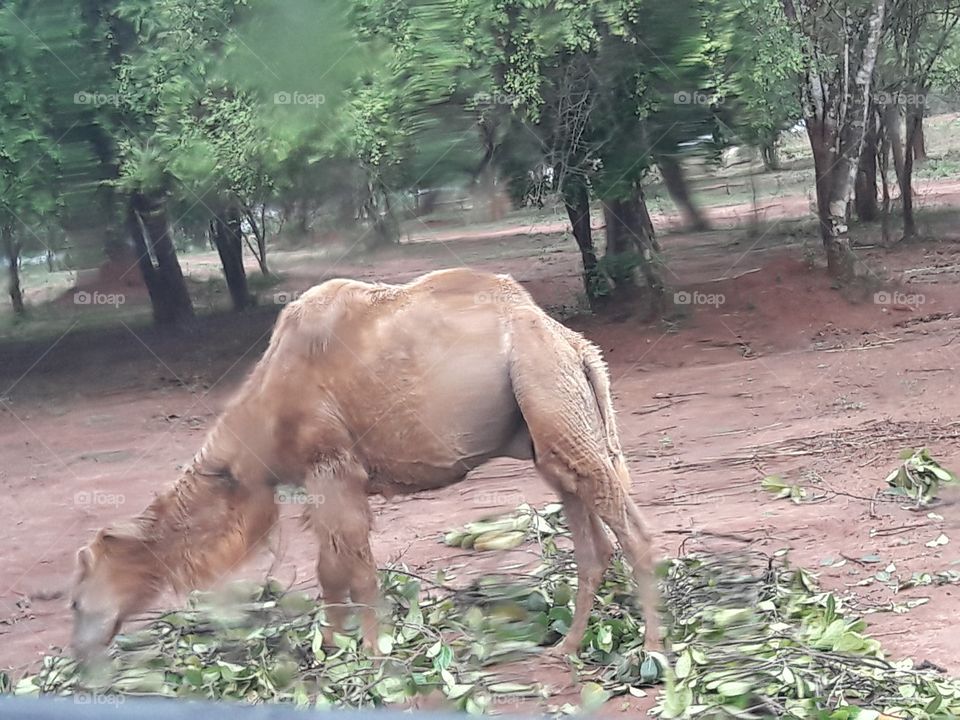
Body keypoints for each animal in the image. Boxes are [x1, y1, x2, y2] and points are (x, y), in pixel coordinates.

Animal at [71, 268, 659, 660]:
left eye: (76, 601)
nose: (79, 652)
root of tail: (573, 343)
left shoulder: (332, 464)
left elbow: (353, 568)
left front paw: (373, 655)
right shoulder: (321, 479)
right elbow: (329, 570)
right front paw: (331, 648)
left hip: (546, 384)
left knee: (629, 528)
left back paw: (653, 650)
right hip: (548, 427)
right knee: (589, 534)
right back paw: (568, 647)